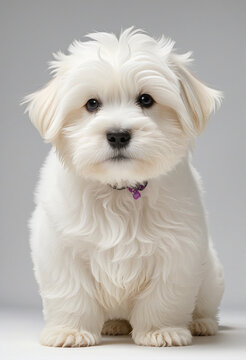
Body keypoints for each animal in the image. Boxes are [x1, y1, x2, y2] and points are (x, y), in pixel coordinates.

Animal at [24, 26, 224, 348]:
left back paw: (201, 323)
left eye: (146, 99)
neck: (119, 189)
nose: (118, 135)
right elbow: (72, 292)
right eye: (92, 104)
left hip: (211, 277)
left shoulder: (178, 249)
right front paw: (70, 331)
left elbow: (163, 296)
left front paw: (160, 330)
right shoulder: (60, 247)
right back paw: (115, 324)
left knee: (205, 304)